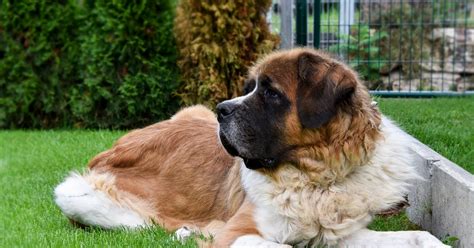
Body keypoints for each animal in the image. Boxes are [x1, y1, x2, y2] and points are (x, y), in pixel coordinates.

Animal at [54, 48, 448, 246]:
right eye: (249, 88)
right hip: (76, 193)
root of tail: (115, 145)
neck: (316, 175)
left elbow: (419, 237)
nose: (221, 109)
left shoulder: (342, 234)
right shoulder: (240, 234)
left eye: (270, 93)